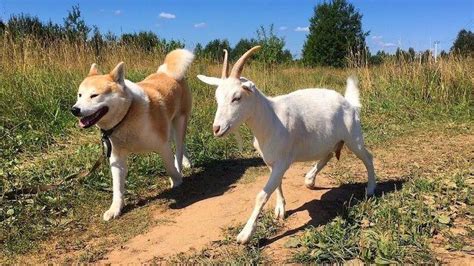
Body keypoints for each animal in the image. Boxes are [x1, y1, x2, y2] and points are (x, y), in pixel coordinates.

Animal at [71, 49, 193, 220]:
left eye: (94, 95)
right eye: (80, 95)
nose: (74, 110)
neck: (126, 116)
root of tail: (165, 72)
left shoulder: (162, 146)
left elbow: (170, 167)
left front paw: (177, 180)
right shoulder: (116, 157)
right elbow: (117, 187)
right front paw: (115, 209)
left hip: (179, 122)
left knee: (180, 147)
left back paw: (181, 164)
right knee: (180, 145)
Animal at [198, 45, 376, 243]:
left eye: (236, 97)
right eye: (217, 98)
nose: (217, 128)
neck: (271, 119)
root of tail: (350, 103)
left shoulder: (282, 161)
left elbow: (262, 195)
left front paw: (245, 234)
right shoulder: (271, 161)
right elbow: (277, 185)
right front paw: (280, 209)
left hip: (354, 137)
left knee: (368, 158)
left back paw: (370, 189)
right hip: (329, 139)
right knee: (329, 153)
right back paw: (310, 179)